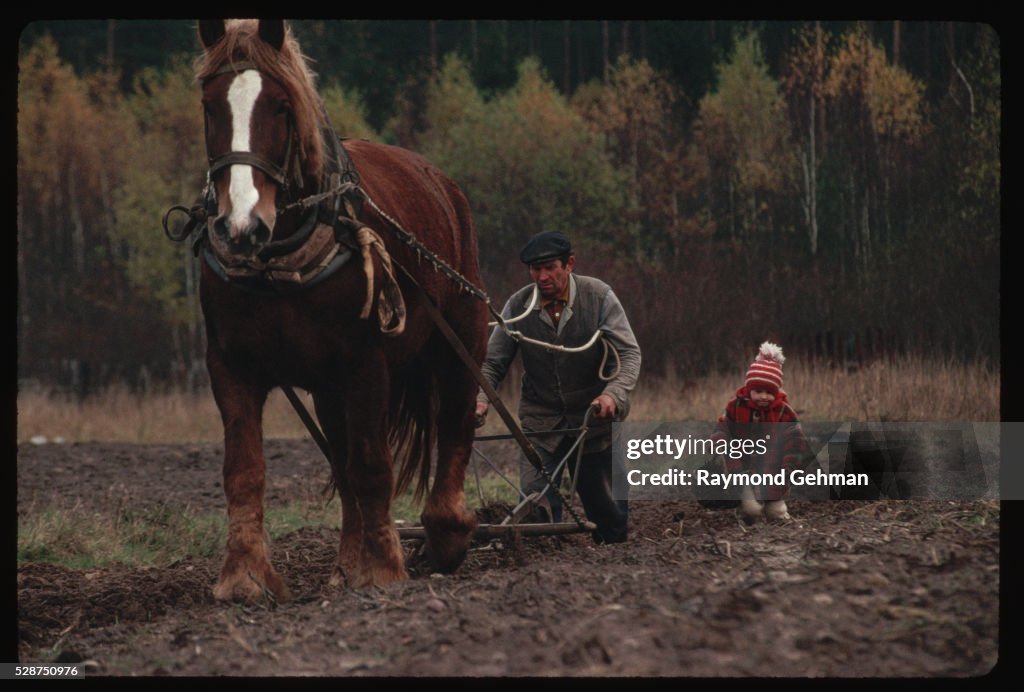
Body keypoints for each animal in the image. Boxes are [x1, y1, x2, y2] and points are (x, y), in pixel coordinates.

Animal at [196, 17, 491, 601]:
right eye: (210, 106)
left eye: (281, 106)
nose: (240, 227)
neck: (279, 266)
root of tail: (441, 183)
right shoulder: (231, 365)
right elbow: (245, 469)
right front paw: (244, 576)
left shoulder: (366, 361)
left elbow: (374, 465)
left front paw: (384, 571)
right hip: (329, 385)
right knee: (343, 457)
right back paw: (346, 564)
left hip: (460, 334)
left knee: (453, 421)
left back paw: (447, 532)